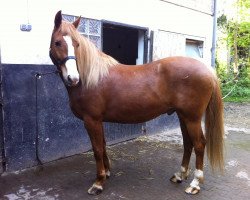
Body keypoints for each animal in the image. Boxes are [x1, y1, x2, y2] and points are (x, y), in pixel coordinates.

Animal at [49, 10, 225, 195]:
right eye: (57, 42)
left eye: (76, 44)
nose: (73, 78)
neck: (91, 78)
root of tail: (207, 70)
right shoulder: (98, 120)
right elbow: (103, 145)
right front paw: (107, 172)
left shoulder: (92, 120)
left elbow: (96, 149)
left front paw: (98, 183)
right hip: (183, 116)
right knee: (187, 143)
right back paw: (179, 175)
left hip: (192, 118)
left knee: (199, 144)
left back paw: (195, 184)